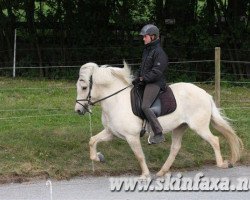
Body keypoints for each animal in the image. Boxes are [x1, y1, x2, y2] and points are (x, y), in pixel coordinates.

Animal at [74, 61, 242, 179]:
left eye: (84, 87)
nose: (78, 110)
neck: (116, 100)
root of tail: (205, 94)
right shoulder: (111, 132)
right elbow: (92, 141)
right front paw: (99, 158)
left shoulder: (131, 137)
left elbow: (139, 156)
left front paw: (144, 175)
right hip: (180, 127)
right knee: (175, 148)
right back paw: (162, 172)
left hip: (199, 127)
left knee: (215, 140)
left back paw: (222, 164)